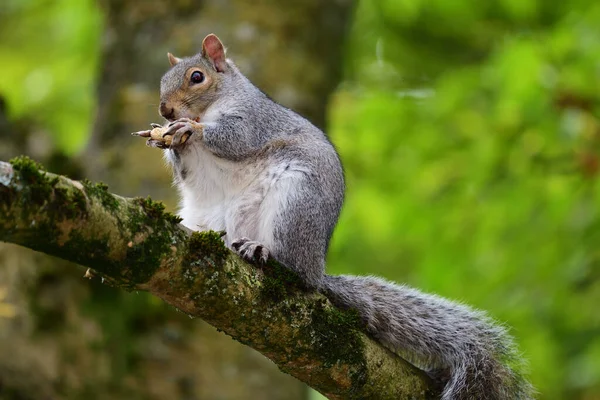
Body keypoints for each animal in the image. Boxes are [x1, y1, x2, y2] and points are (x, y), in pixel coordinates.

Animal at [134, 32, 532, 398]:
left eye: (197, 77)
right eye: (162, 81)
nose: (165, 111)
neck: (210, 106)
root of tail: (317, 267)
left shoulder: (254, 120)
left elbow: (234, 137)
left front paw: (190, 129)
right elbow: (189, 173)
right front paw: (162, 138)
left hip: (294, 205)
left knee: (297, 272)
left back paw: (265, 254)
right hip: (207, 219)